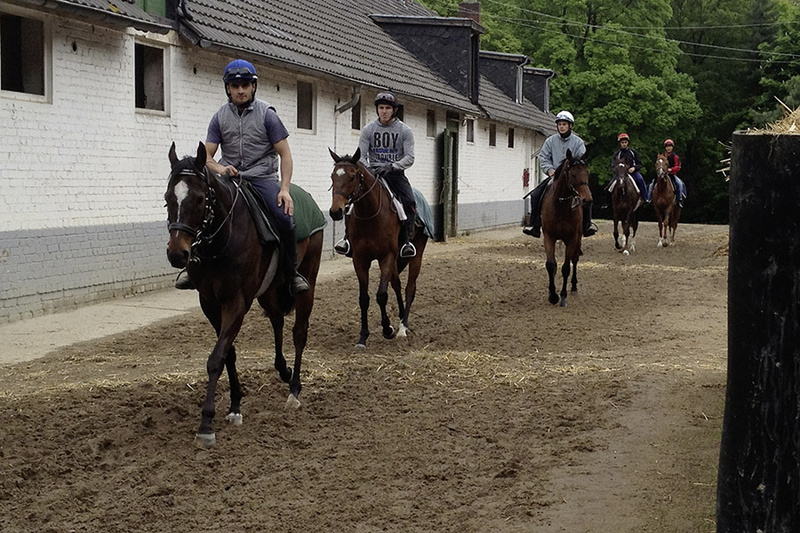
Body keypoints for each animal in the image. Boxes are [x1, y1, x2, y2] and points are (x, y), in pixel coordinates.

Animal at [166, 139, 322, 446]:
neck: (222, 240)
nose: (177, 253)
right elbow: (228, 353)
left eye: (199, 199)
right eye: (168, 198)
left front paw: (206, 423)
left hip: (306, 281)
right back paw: (283, 369)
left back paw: (294, 389)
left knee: (299, 332)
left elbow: (216, 358)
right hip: (269, 290)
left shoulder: (236, 302)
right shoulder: (210, 303)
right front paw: (235, 405)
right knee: (277, 321)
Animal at [328, 149, 428, 350]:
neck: (370, 215)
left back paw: (403, 327)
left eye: (352, 177)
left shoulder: (386, 257)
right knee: (397, 285)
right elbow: (364, 298)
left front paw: (388, 329)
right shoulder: (360, 259)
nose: (335, 211)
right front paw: (362, 338)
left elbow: (381, 295)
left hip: (416, 254)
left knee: (409, 288)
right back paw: (400, 317)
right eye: (332, 176)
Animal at [540, 150, 592, 308]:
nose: (587, 200)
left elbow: (566, 268)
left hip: (578, 239)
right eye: (573, 174)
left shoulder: (571, 239)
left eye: (587, 172)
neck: (560, 206)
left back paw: (573, 287)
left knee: (574, 260)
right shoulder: (549, 237)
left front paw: (562, 297)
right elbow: (551, 265)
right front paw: (552, 296)